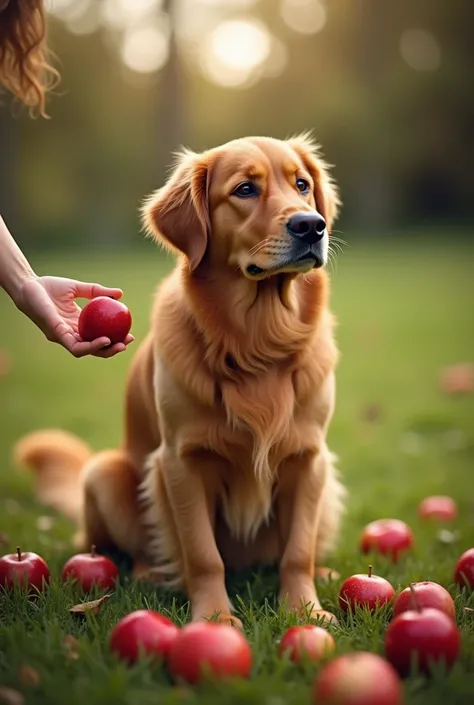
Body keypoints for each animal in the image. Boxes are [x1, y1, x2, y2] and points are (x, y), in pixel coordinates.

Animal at [16, 135, 346, 624]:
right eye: (245, 189)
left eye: (302, 185)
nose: (312, 226)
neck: (257, 340)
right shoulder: (181, 461)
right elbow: (203, 554)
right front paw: (215, 618)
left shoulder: (309, 458)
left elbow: (297, 551)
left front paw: (305, 611)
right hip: (105, 473)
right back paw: (151, 572)